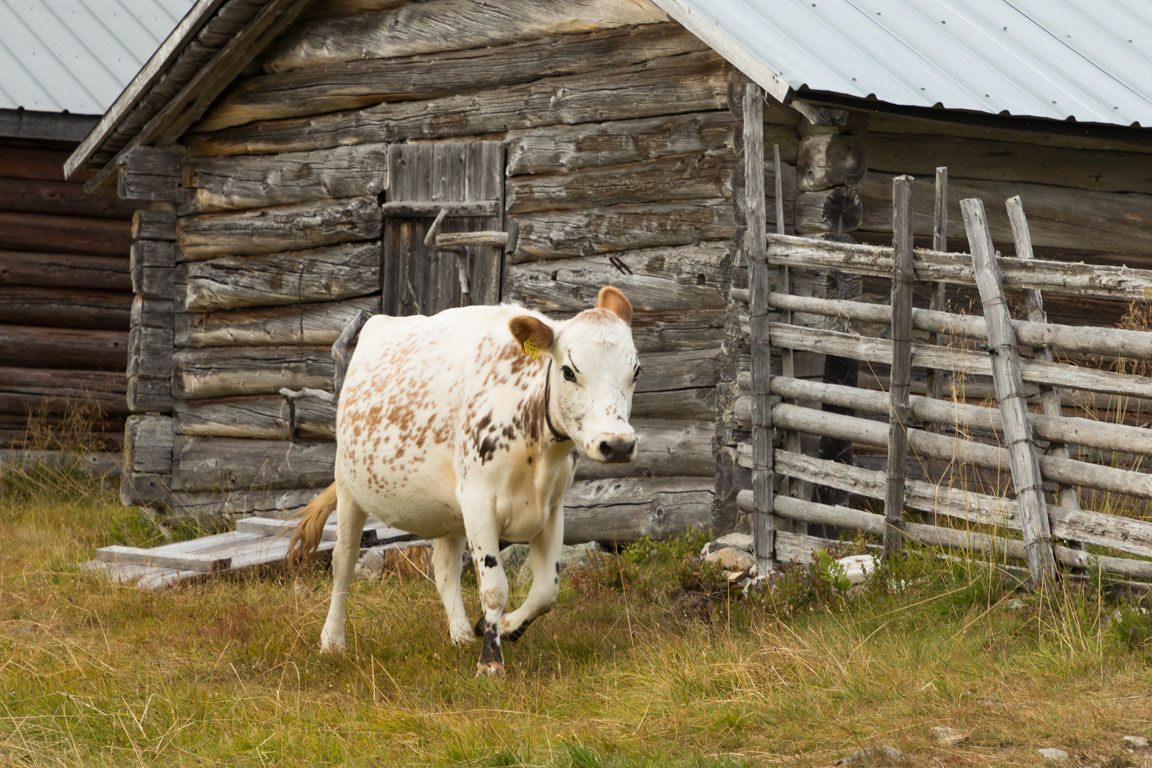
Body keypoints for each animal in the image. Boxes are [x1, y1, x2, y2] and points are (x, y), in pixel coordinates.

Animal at [288, 285, 645, 677]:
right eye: (568, 371)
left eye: (635, 371)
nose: (618, 444)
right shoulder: (479, 501)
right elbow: (494, 587)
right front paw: (490, 662)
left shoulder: (551, 508)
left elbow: (545, 591)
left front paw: (503, 628)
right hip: (349, 485)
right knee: (344, 561)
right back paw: (332, 642)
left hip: (449, 509)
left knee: (444, 567)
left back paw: (459, 635)